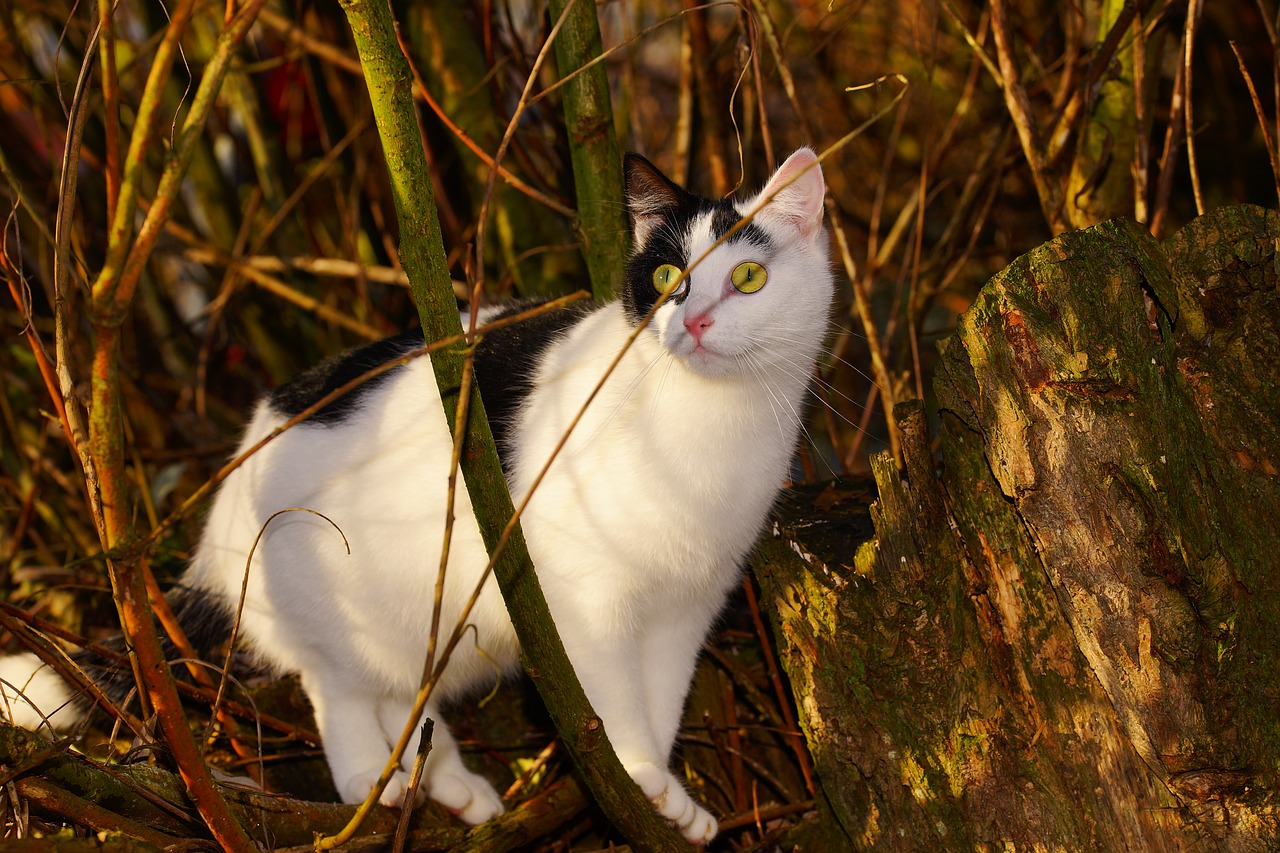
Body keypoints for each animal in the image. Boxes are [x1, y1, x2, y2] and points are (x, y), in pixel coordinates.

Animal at [0, 149, 834, 840]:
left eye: (748, 278)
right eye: (665, 278)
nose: (695, 320)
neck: (710, 423)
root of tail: (226, 503)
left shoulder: (687, 608)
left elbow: (661, 701)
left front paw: (666, 797)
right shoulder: (584, 604)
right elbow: (615, 702)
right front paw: (638, 780)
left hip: (433, 621)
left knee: (407, 695)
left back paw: (450, 784)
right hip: (329, 605)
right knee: (336, 689)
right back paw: (373, 779)